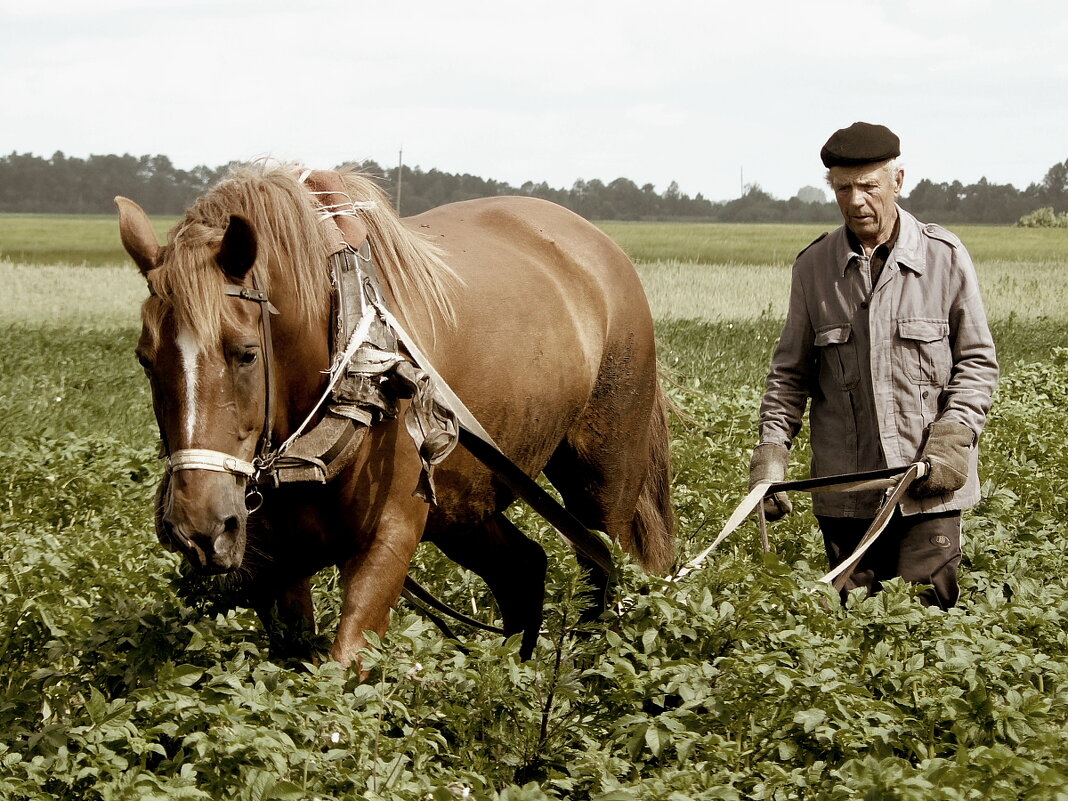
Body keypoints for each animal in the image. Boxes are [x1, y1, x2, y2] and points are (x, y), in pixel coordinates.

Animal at [114, 164, 666, 670]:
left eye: (246, 354)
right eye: (145, 358)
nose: (198, 526)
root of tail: (599, 247)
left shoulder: (390, 535)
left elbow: (347, 667)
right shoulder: (273, 561)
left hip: (603, 479)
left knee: (605, 568)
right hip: (463, 503)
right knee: (523, 569)